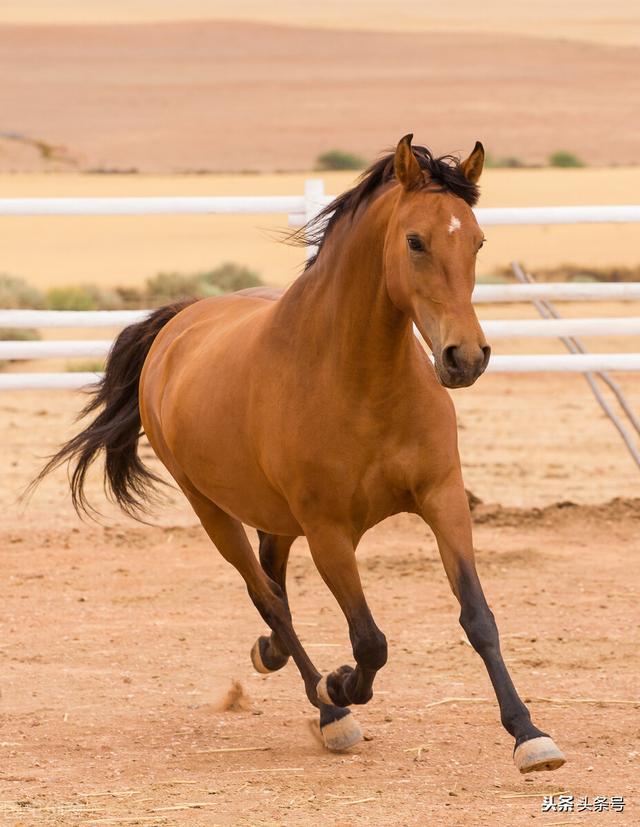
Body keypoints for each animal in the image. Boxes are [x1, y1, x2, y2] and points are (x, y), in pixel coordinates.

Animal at [35, 133, 564, 772]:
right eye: (415, 241)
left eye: (479, 241)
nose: (466, 357)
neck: (360, 381)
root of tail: (180, 322)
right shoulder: (329, 531)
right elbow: (370, 642)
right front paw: (338, 686)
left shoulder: (443, 499)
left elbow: (478, 617)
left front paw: (530, 734)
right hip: (215, 513)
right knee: (270, 599)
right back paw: (329, 711)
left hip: (277, 518)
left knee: (275, 585)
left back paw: (273, 657)